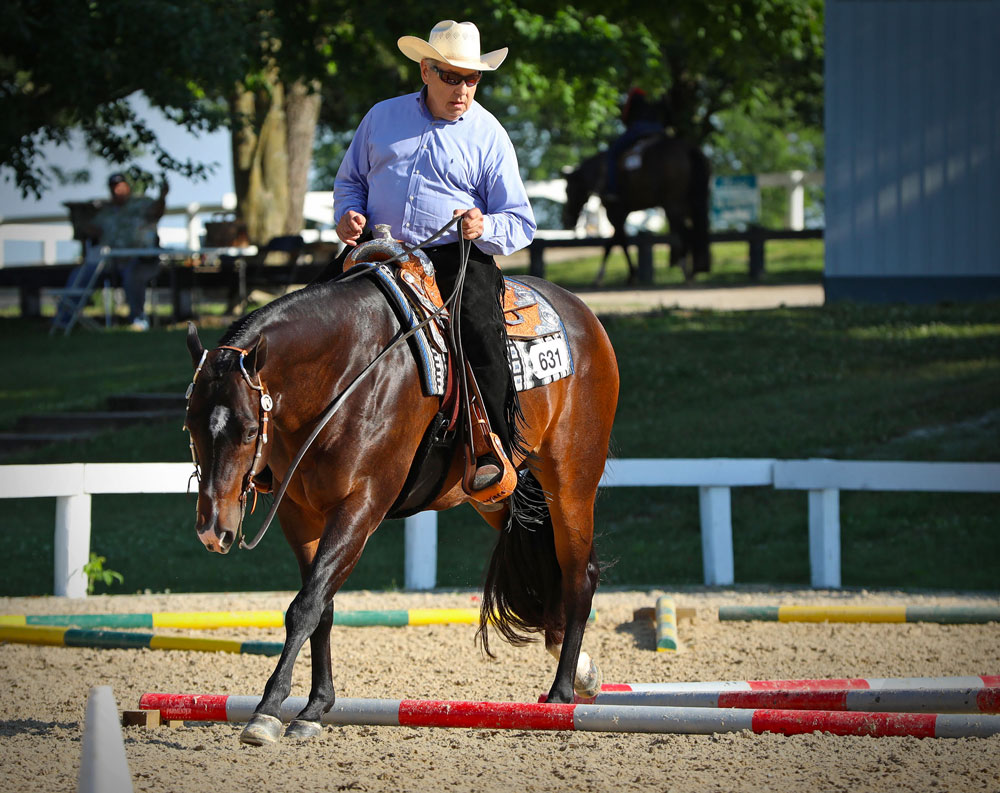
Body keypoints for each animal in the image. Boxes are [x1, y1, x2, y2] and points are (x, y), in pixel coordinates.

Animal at [181, 251, 616, 744]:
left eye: (250, 430)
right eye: (190, 423)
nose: (214, 529)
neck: (345, 375)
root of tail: (583, 314)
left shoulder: (360, 506)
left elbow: (305, 606)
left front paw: (268, 710)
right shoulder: (299, 515)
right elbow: (321, 606)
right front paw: (315, 706)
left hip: (571, 482)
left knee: (579, 574)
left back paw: (562, 693)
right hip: (495, 496)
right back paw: (582, 673)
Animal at [564, 135, 712, 286]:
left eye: (567, 190)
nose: (567, 221)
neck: (600, 171)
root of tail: (688, 149)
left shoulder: (614, 212)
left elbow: (617, 243)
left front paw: (625, 275)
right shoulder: (622, 213)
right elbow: (614, 242)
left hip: (673, 205)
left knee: (685, 234)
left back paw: (686, 271)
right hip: (690, 204)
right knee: (693, 232)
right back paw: (693, 270)